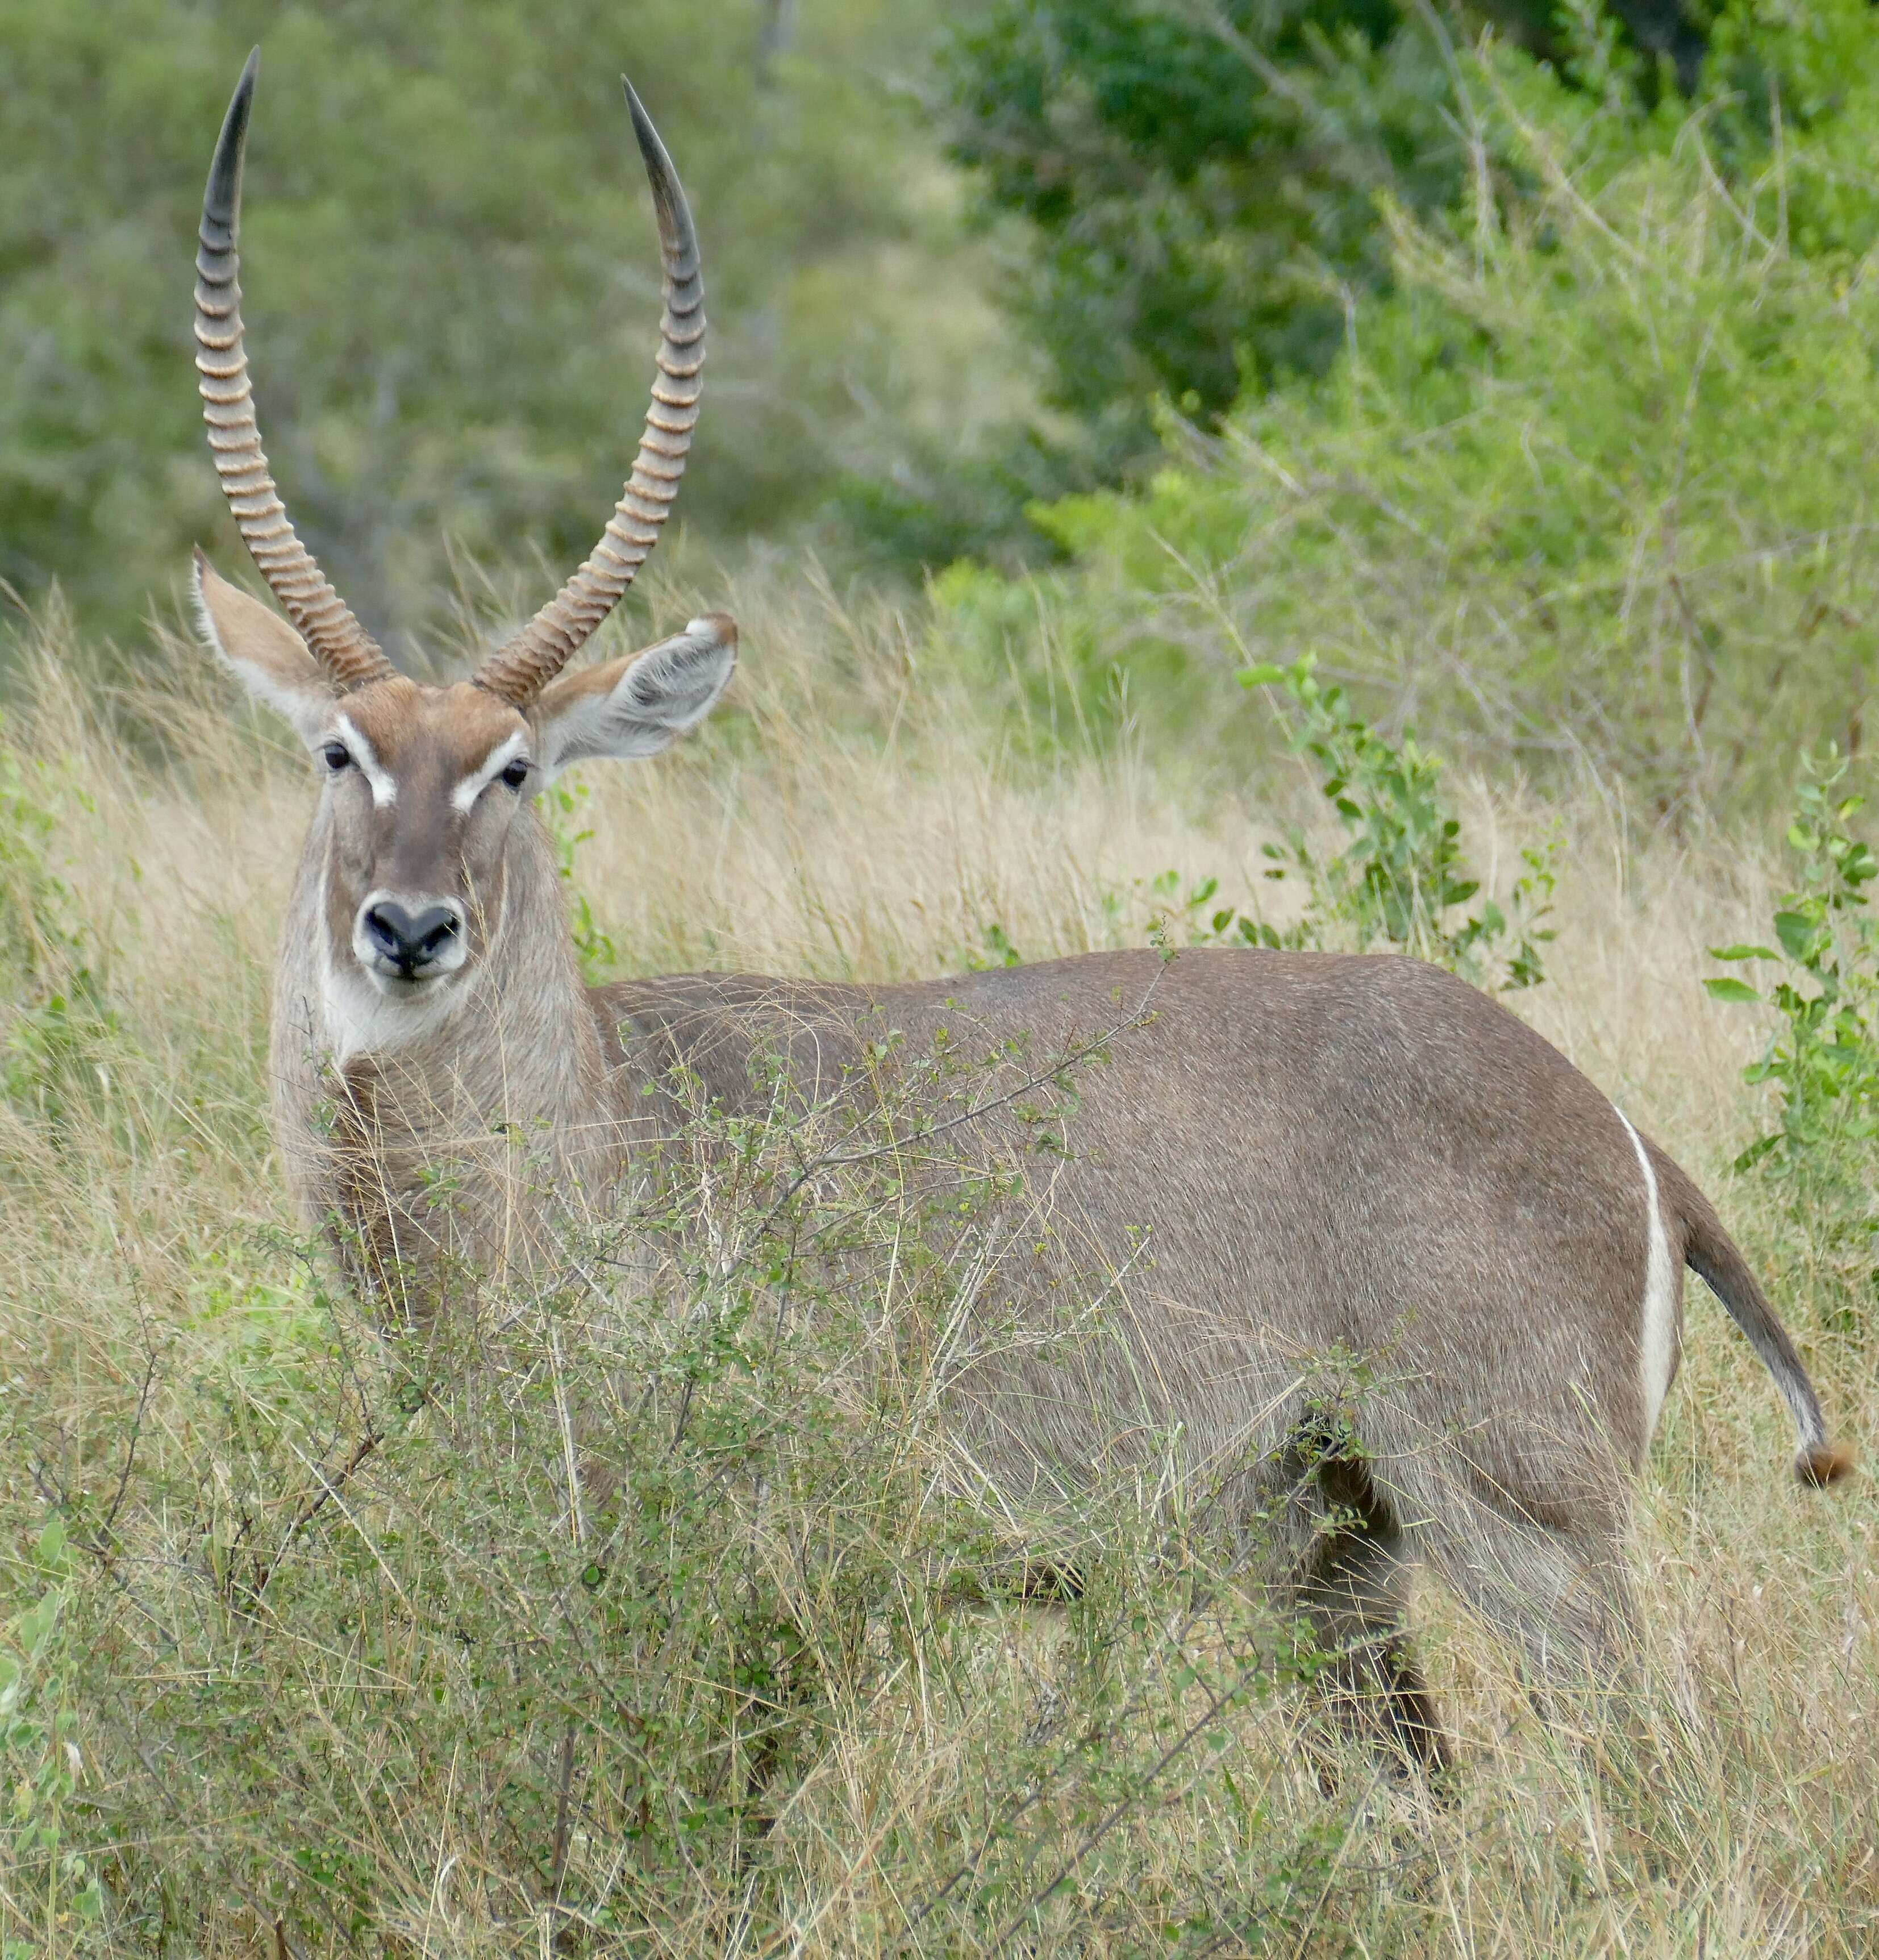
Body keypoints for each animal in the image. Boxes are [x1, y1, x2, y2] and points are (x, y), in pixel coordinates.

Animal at [187, 49, 1849, 1764]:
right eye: (337, 750)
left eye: (513, 770)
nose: (409, 932)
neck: (589, 1122)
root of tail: (1623, 1131)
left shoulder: (761, 1572)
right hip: (1337, 1556)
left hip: (1525, 1523)